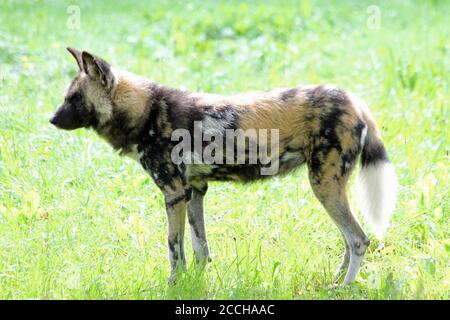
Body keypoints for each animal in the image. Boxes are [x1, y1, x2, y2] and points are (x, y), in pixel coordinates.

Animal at [51, 48, 400, 284]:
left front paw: (174, 285)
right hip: (329, 188)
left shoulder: (174, 195)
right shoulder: (194, 191)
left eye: (75, 98)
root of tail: (354, 100)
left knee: (359, 239)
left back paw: (344, 287)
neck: (146, 113)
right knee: (348, 239)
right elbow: (199, 248)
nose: (52, 119)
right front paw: (196, 282)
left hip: (324, 186)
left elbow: (173, 248)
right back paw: (336, 280)